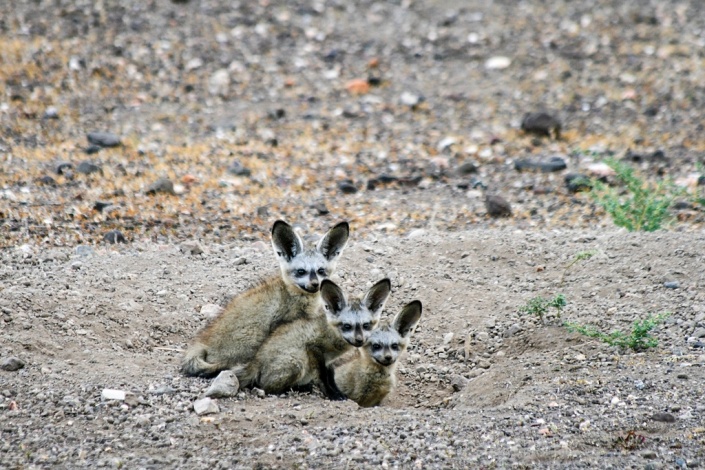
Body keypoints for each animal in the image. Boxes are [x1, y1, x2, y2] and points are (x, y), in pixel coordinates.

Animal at [180, 220, 349, 378]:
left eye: (321, 271)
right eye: (301, 271)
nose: (315, 284)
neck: (294, 295)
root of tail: (203, 341)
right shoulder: (285, 323)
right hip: (254, 337)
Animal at [234, 278, 392, 400]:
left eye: (366, 325)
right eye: (347, 326)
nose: (360, 340)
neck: (332, 335)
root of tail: (255, 361)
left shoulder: (328, 360)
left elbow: (331, 378)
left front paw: (338, 392)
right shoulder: (313, 348)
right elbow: (322, 378)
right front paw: (331, 395)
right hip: (297, 361)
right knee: (265, 387)